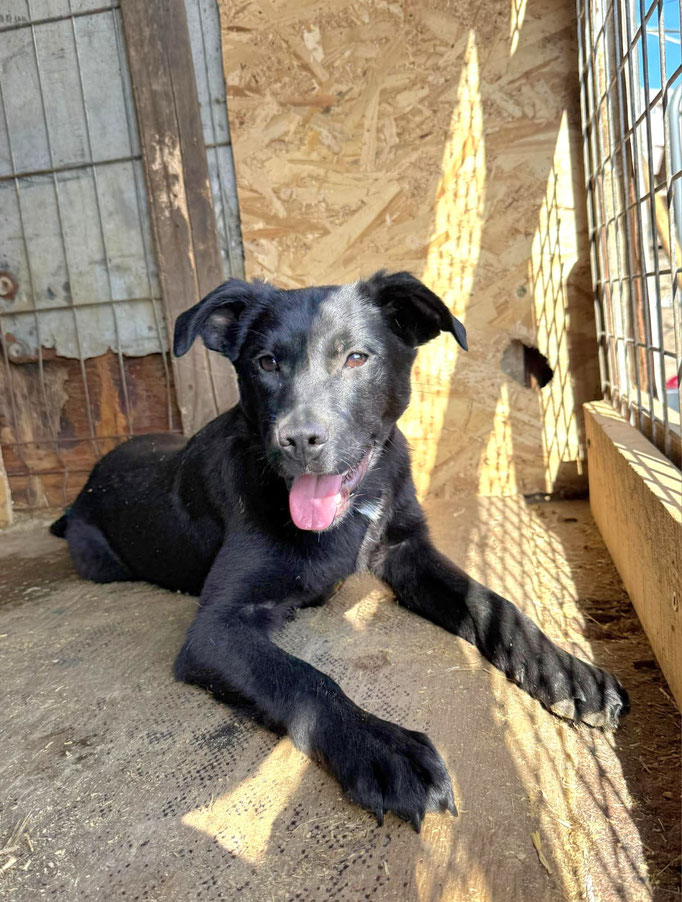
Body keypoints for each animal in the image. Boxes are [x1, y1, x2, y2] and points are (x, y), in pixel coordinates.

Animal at [51, 271, 628, 831]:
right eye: (266, 362)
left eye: (356, 357)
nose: (300, 441)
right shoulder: (216, 628)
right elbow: (304, 679)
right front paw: (381, 747)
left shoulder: (406, 549)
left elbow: (491, 603)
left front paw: (563, 670)